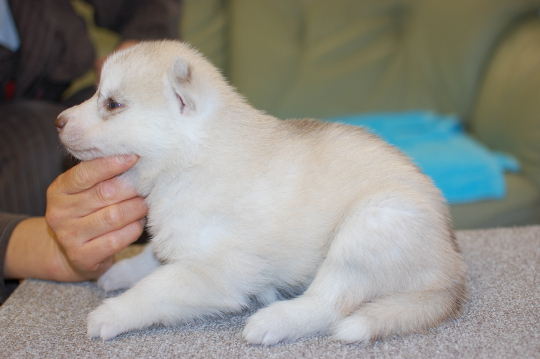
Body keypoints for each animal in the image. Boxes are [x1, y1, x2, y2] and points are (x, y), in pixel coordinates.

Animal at [56, 40, 468, 346]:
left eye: (112, 103)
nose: (58, 121)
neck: (192, 157)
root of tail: (451, 270)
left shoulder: (216, 272)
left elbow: (155, 288)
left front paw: (112, 313)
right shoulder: (181, 239)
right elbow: (151, 258)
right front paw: (119, 272)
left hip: (370, 225)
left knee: (329, 305)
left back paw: (273, 320)